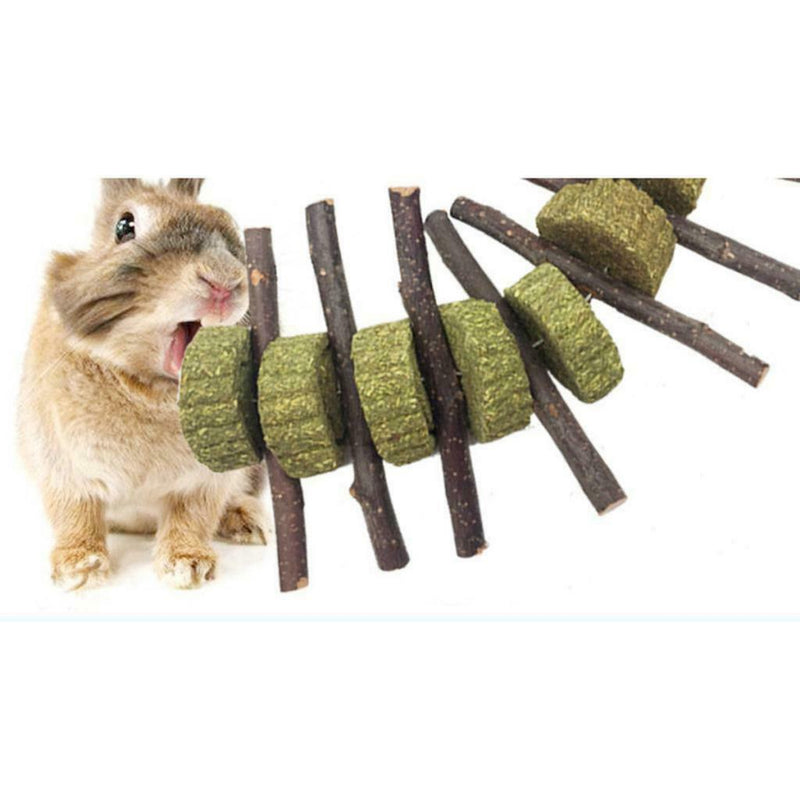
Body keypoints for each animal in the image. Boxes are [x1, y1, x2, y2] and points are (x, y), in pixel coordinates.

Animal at [17, 178, 269, 590]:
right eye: (125, 226)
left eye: (229, 223)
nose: (223, 279)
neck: (150, 389)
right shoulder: (62, 470)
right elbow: (74, 516)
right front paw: (79, 569)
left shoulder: (205, 482)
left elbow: (192, 517)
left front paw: (187, 566)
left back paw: (247, 522)